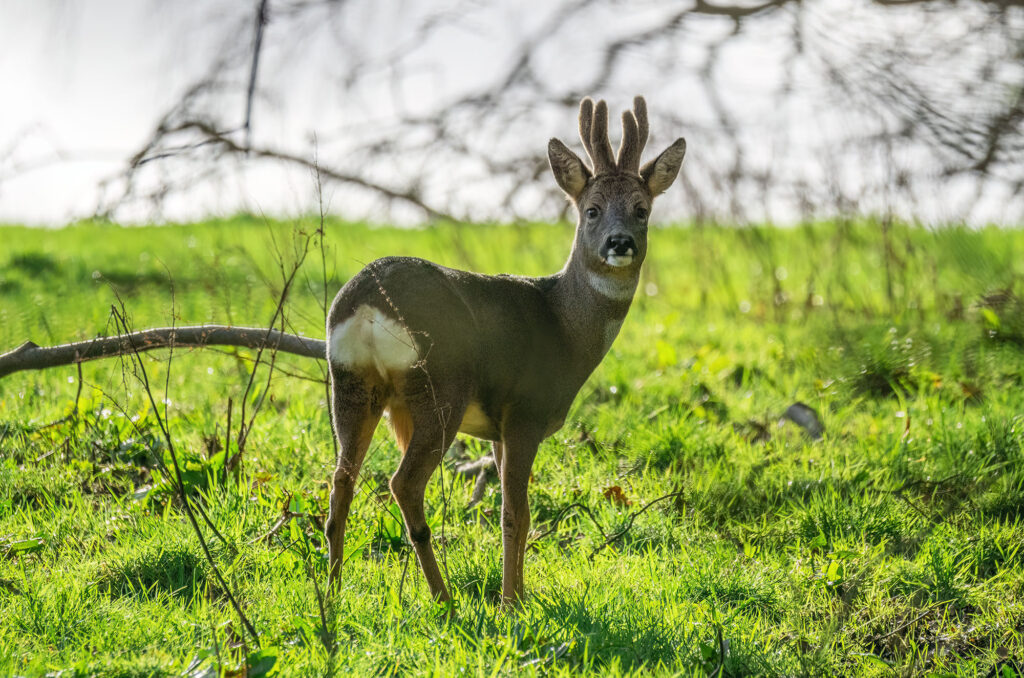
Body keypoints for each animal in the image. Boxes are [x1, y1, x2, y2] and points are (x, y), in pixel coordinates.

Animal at [323, 95, 684, 606]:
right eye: (592, 210)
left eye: (642, 209)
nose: (621, 243)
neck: (566, 326)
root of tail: (370, 303)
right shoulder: (525, 412)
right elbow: (515, 512)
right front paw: (512, 602)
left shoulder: (495, 429)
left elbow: (517, 510)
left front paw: (521, 592)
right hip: (441, 387)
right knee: (403, 483)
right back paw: (445, 600)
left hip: (350, 382)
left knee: (341, 481)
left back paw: (334, 592)